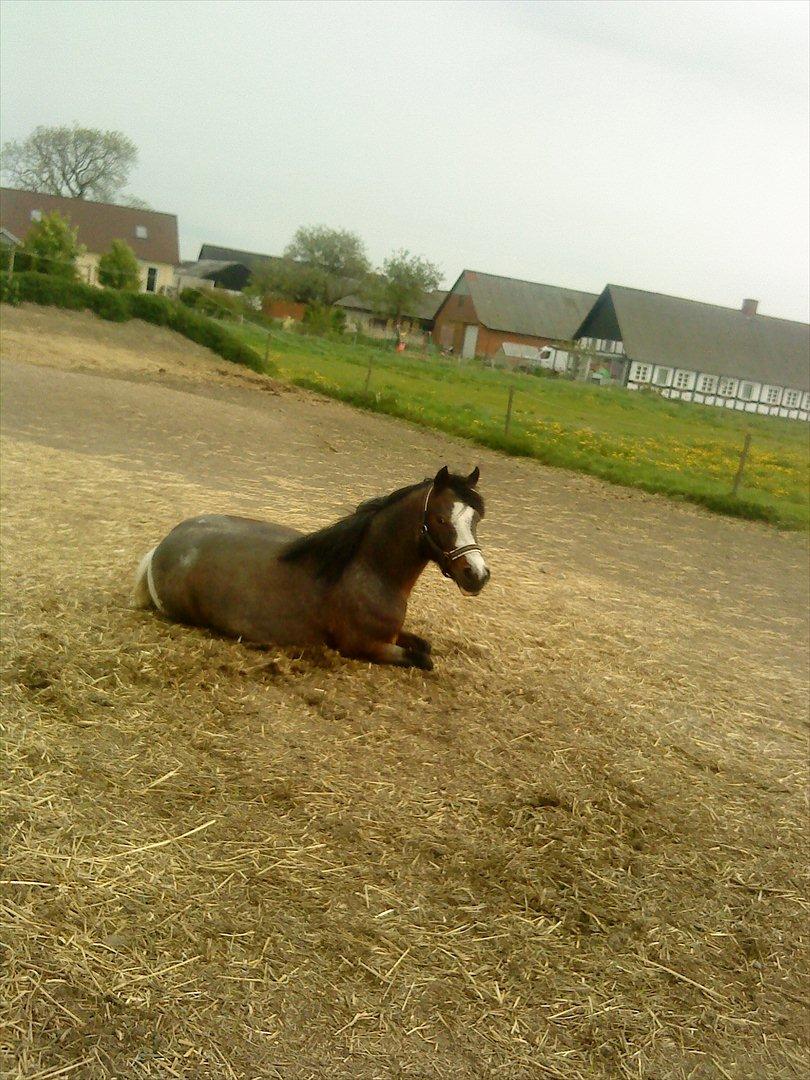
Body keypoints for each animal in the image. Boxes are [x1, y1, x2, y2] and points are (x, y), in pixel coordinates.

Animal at [132, 466, 490, 670]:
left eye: (476, 518)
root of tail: (162, 547)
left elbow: (424, 645)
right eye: (441, 519)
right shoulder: (366, 647)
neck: (367, 571)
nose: (478, 575)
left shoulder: (392, 634)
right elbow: (425, 659)